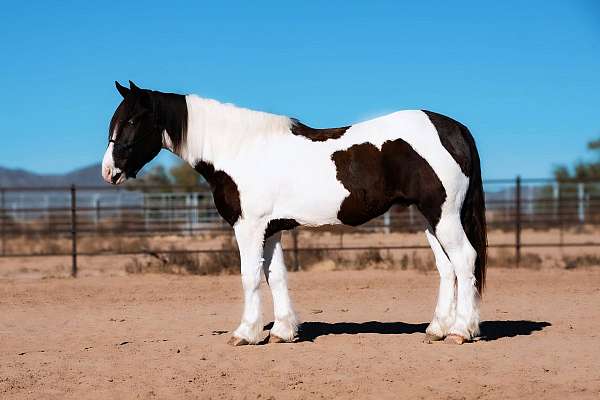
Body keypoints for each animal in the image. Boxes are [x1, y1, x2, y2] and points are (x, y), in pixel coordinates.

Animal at [104, 80, 488, 344]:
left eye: (133, 121)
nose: (109, 172)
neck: (241, 150)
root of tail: (454, 128)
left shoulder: (249, 227)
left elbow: (249, 276)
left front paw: (245, 333)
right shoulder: (271, 228)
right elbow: (276, 276)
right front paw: (283, 331)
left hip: (444, 216)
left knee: (465, 260)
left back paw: (461, 331)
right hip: (429, 219)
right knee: (447, 268)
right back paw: (437, 329)